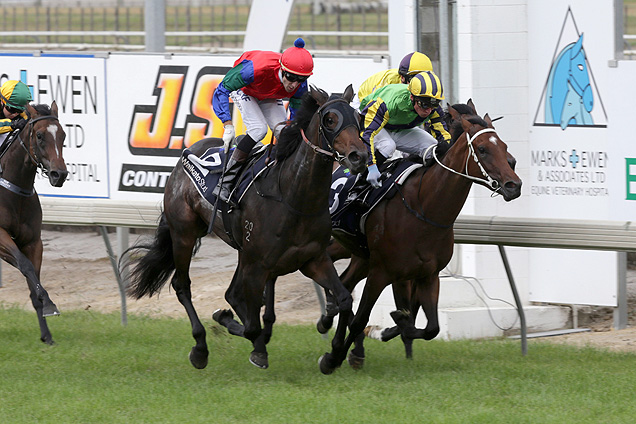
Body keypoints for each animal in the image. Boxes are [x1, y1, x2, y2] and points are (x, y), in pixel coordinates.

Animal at [0, 102, 68, 344]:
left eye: (63, 135)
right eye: (39, 136)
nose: (59, 174)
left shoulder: (33, 242)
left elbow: (33, 279)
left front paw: (46, 333)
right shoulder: (1, 237)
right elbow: (25, 265)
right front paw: (49, 303)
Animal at [125, 84, 368, 370]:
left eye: (358, 117)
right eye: (330, 119)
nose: (359, 156)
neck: (293, 196)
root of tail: (187, 153)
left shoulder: (313, 259)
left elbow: (344, 299)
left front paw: (334, 355)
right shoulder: (258, 264)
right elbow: (252, 326)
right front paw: (245, 337)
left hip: (241, 250)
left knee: (232, 294)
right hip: (184, 234)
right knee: (182, 284)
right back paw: (200, 347)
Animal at [318, 101, 520, 372]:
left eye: (504, 146)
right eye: (482, 149)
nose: (514, 185)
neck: (424, 209)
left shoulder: (428, 275)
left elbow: (429, 327)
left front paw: (393, 327)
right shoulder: (382, 272)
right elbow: (362, 318)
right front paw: (333, 356)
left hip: (360, 255)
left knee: (345, 284)